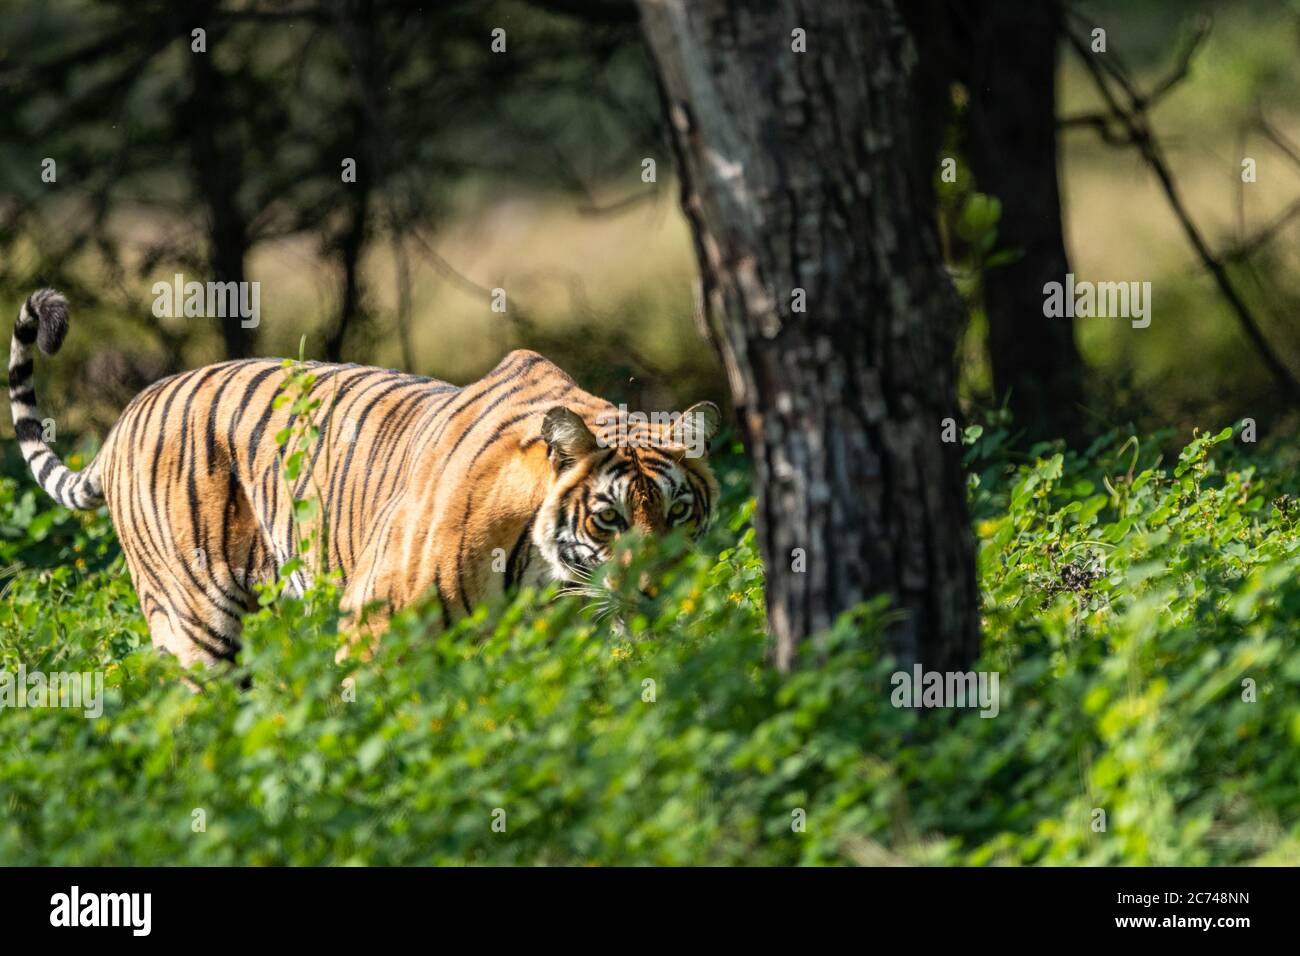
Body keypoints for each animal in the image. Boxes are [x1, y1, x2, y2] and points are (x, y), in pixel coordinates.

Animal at [7, 287, 722, 671]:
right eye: (608, 519)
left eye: (679, 513)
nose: (658, 591)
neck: (545, 574)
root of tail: (130, 411)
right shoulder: (375, 625)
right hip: (194, 616)